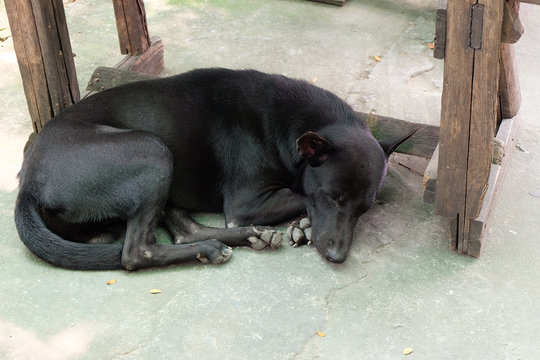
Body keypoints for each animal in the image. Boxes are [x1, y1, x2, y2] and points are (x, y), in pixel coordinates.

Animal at [15, 68, 414, 270]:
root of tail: (27, 185)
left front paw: (300, 228)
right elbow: (300, 194)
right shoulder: (246, 203)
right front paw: (303, 223)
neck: (289, 120)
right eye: (331, 197)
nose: (337, 257)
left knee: (183, 232)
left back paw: (249, 237)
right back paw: (214, 248)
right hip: (153, 150)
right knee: (137, 252)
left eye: (366, 209)